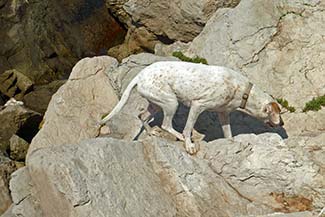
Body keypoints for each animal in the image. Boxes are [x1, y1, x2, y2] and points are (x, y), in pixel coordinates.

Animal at [100, 61, 282, 154]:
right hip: (171, 103)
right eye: (278, 113)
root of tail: (139, 75)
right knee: (166, 125)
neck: (243, 91)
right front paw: (189, 145)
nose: (282, 123)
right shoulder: (197, 106)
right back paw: (179, 137)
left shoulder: (223, 114)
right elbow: (188, 129)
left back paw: (151, 132)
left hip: (157, 104)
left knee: (142, 116)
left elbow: (228, 134)